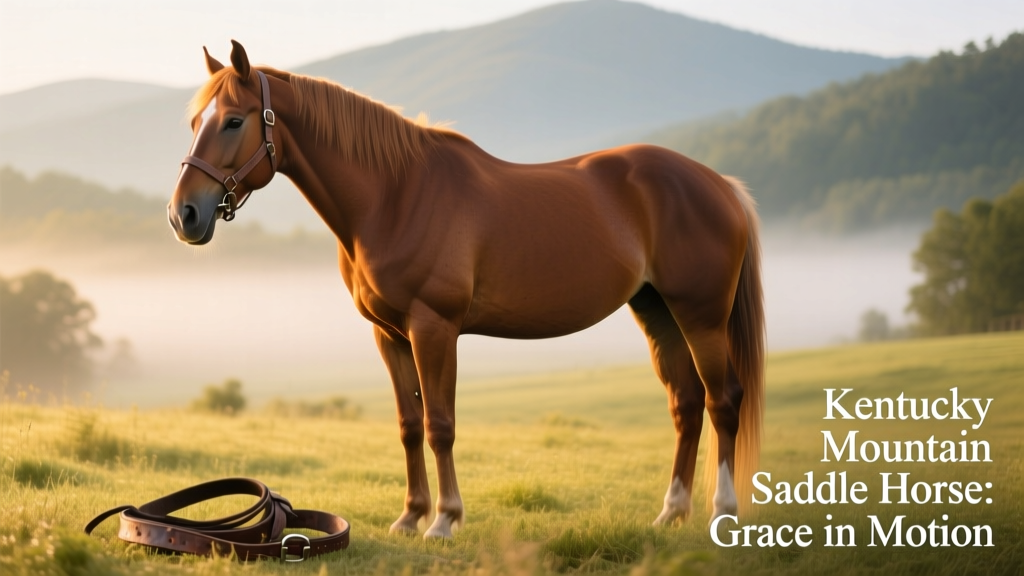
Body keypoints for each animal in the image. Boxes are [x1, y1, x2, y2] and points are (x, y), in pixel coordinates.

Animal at [169, 41, 765, 539]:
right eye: (196, 121)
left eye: (234, 121)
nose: (184, 215)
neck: (396, 195)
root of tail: (721, 186)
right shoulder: (389, 335)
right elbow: (409, 426)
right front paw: (410, 516)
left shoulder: (434, 329)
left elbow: (440, 425)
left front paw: (444, 521)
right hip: (657, 310)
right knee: (686, 403)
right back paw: (671, 513)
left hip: (701, 316)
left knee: (722, 400)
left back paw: (722, 510)